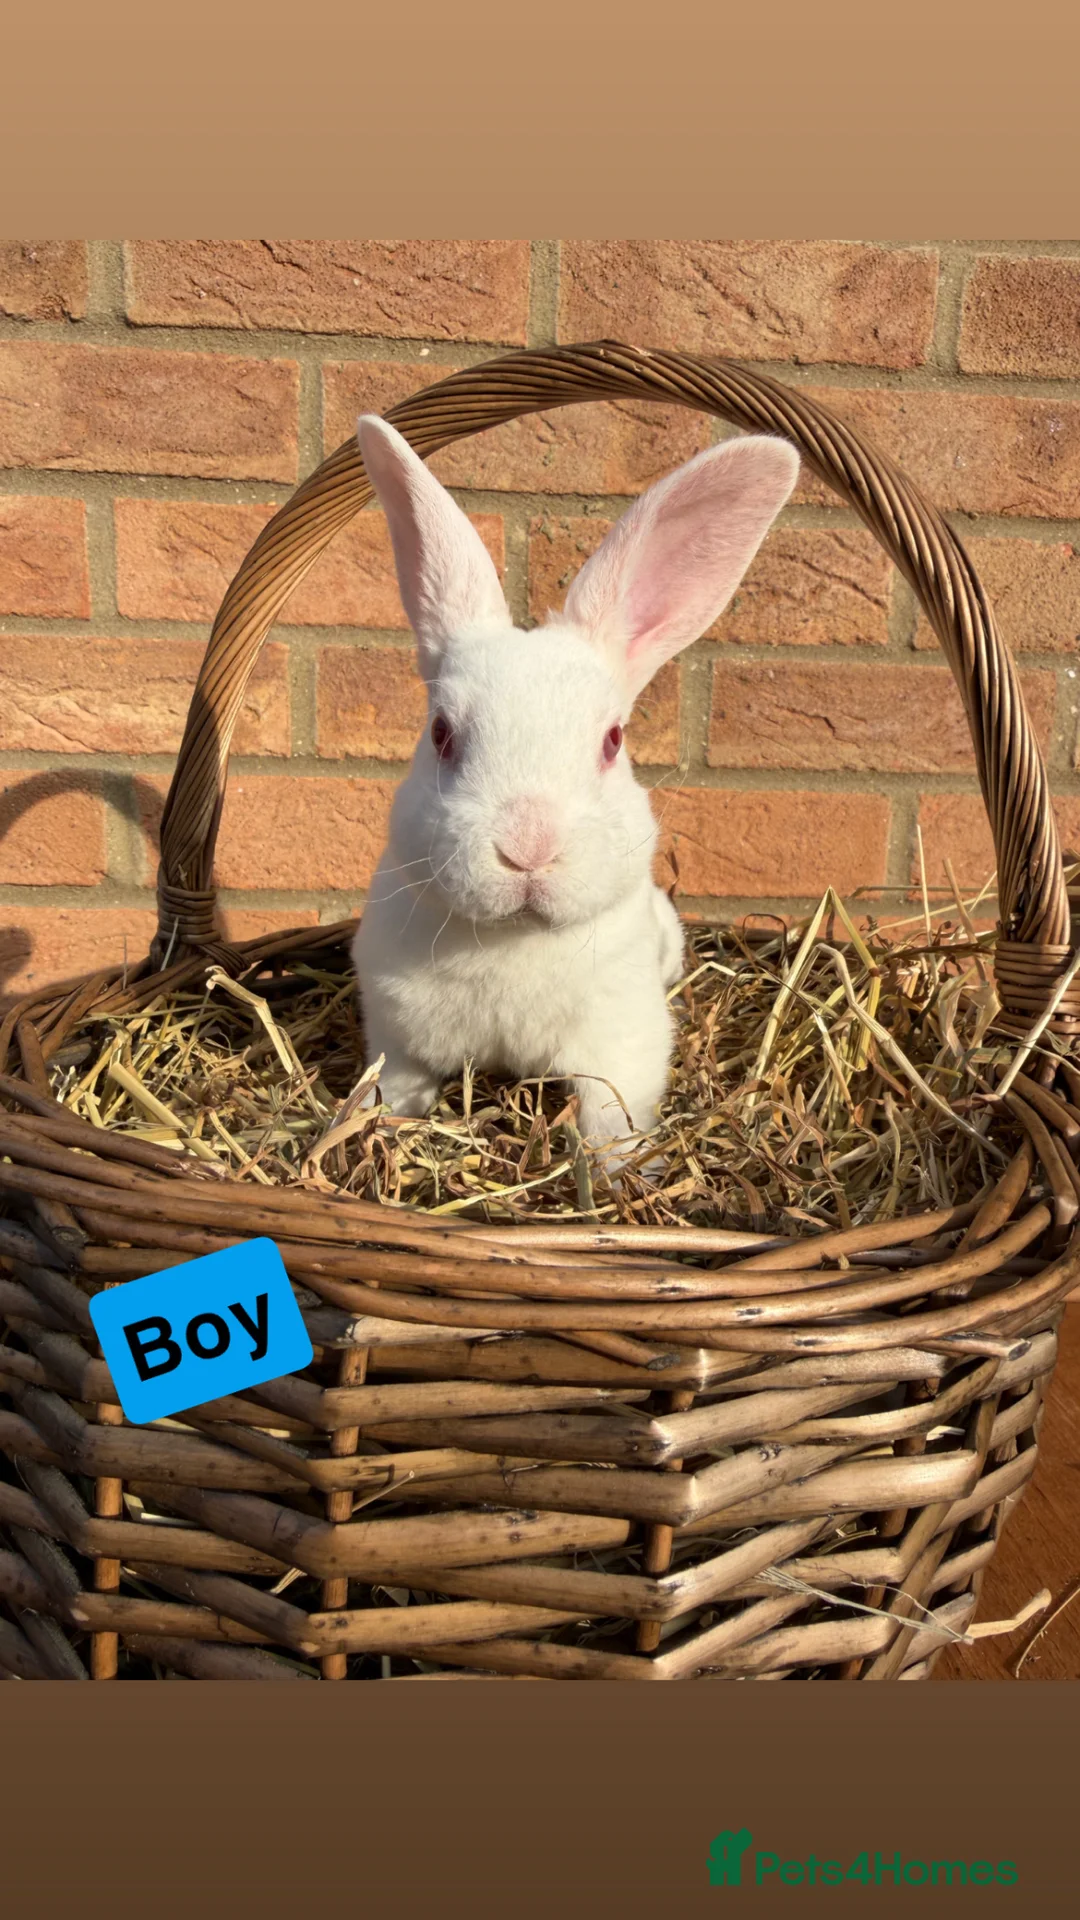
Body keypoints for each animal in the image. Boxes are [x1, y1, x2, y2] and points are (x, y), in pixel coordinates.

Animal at [350, 411, 798, 1172]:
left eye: (613, 740)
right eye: (441, 733)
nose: (528, 849)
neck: (511, 943)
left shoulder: (620, 1045)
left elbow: (611, 1119)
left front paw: (623, 1173)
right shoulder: (397, 1036)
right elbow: (400, 1091)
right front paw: (384, 1134)